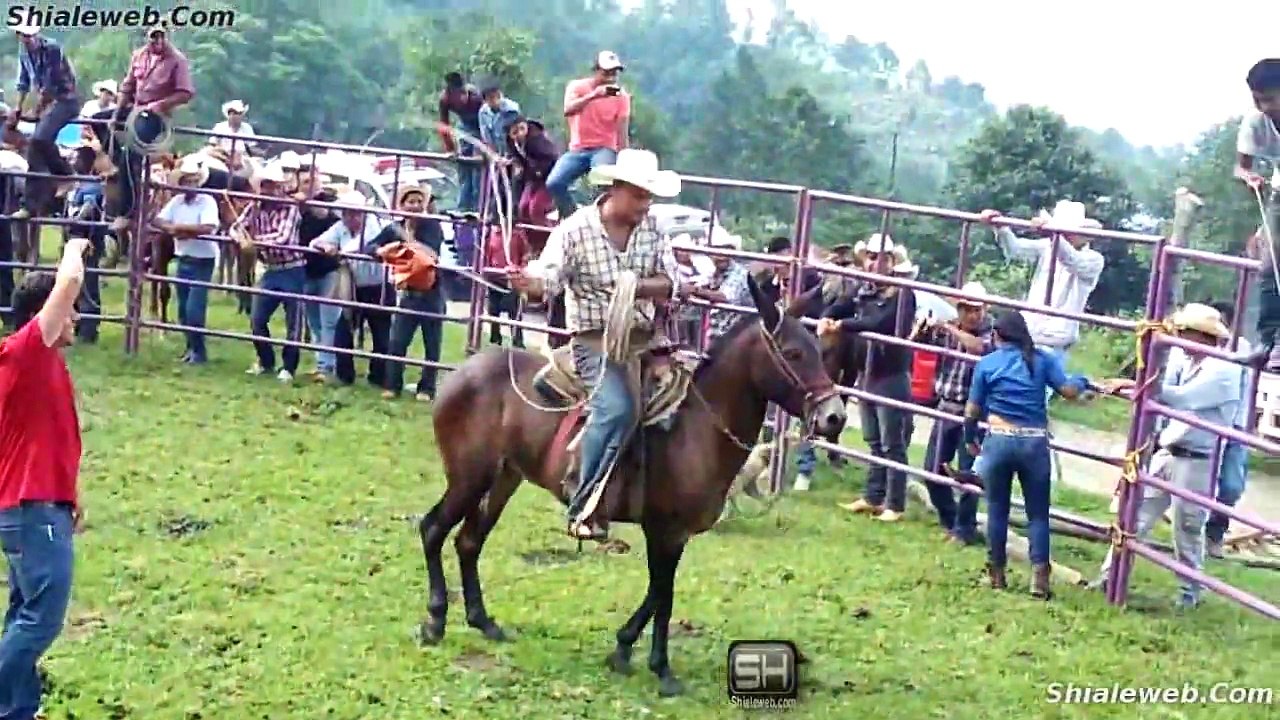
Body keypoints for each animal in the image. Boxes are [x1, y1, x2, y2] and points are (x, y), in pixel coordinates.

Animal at [422, 278, 849, 691]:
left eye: (819, 350)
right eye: (793, 353)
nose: (835, 417)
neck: (696, 428)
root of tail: (464, 371)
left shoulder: (674, 533)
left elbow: (657, 591)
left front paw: (623, 648)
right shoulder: (665, 529)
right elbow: (664, 593)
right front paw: (661, 669)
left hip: (502, 480)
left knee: (468, 541)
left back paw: (483, 621)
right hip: (469, 477)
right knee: (432, 529)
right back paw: (435, 621)